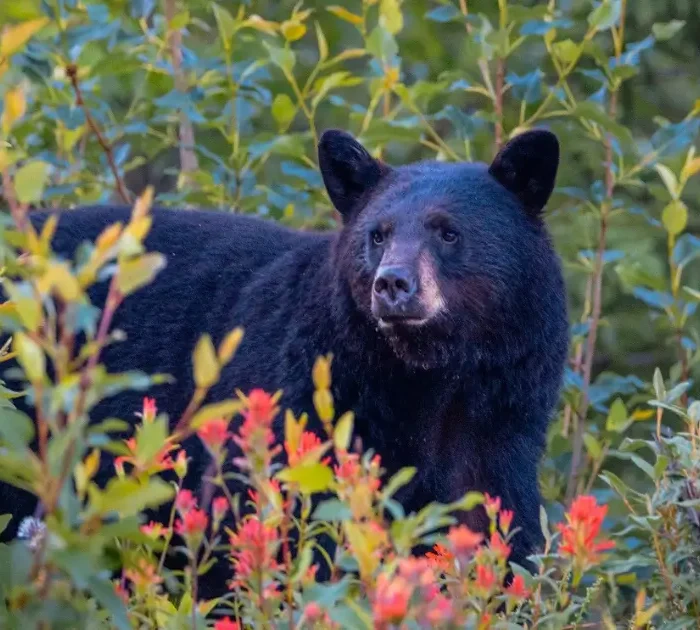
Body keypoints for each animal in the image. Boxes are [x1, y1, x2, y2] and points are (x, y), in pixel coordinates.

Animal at [0, 127, 568, 596]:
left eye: (449, 232)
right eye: (378, 234)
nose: (393, 284)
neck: (423, 382)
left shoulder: (498, 423)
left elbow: (494, 527)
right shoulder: (300, 400)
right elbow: (266, 520)